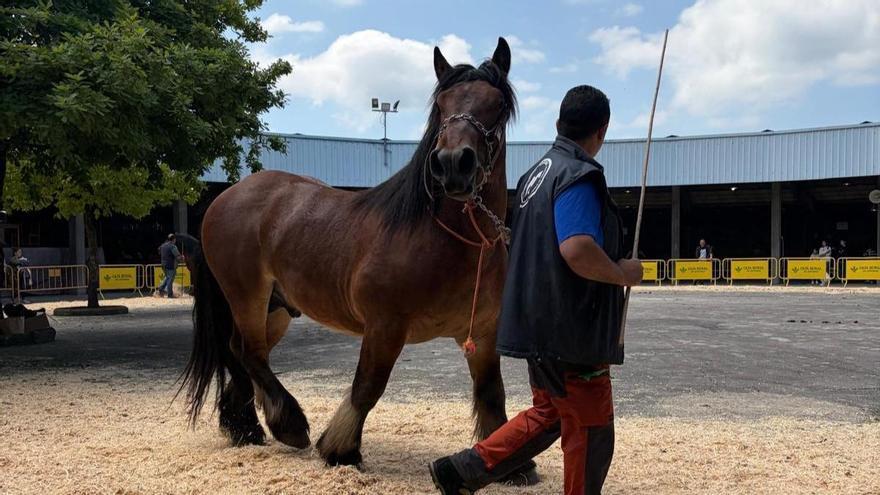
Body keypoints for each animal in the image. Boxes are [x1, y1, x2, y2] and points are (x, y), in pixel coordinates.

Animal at [180, 38, 523, 471]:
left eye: (497, 105)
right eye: (442, 105)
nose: (451, 164)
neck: (451, 240)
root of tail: (224, 198)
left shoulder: (482, 332)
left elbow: (492, 392)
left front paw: (513, 464)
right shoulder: (384, 326)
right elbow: (367, 386)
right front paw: (340, 448)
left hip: (276, 309)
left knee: (242, 355)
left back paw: (247, 430)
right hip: (246, 297)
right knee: (248, 352)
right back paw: (289, 424)